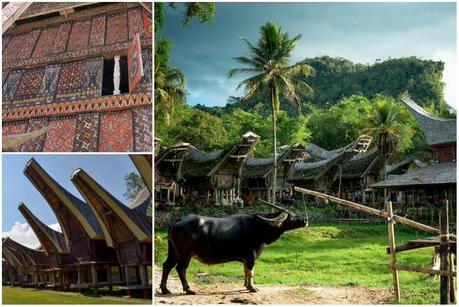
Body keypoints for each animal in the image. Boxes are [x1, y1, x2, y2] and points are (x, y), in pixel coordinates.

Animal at [161, 209, 310, 296]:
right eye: (292, 216)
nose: (305, 220)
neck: (259, 227)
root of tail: (178, 220)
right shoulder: (250, 257)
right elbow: (251, 272)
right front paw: (252, 288)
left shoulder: (246, 258)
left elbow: (245, 271)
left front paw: (246, 285)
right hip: (185, 253)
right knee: (181, 269)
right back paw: (188, 289)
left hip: (173, 251)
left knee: (167, 266)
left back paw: (165, 289)